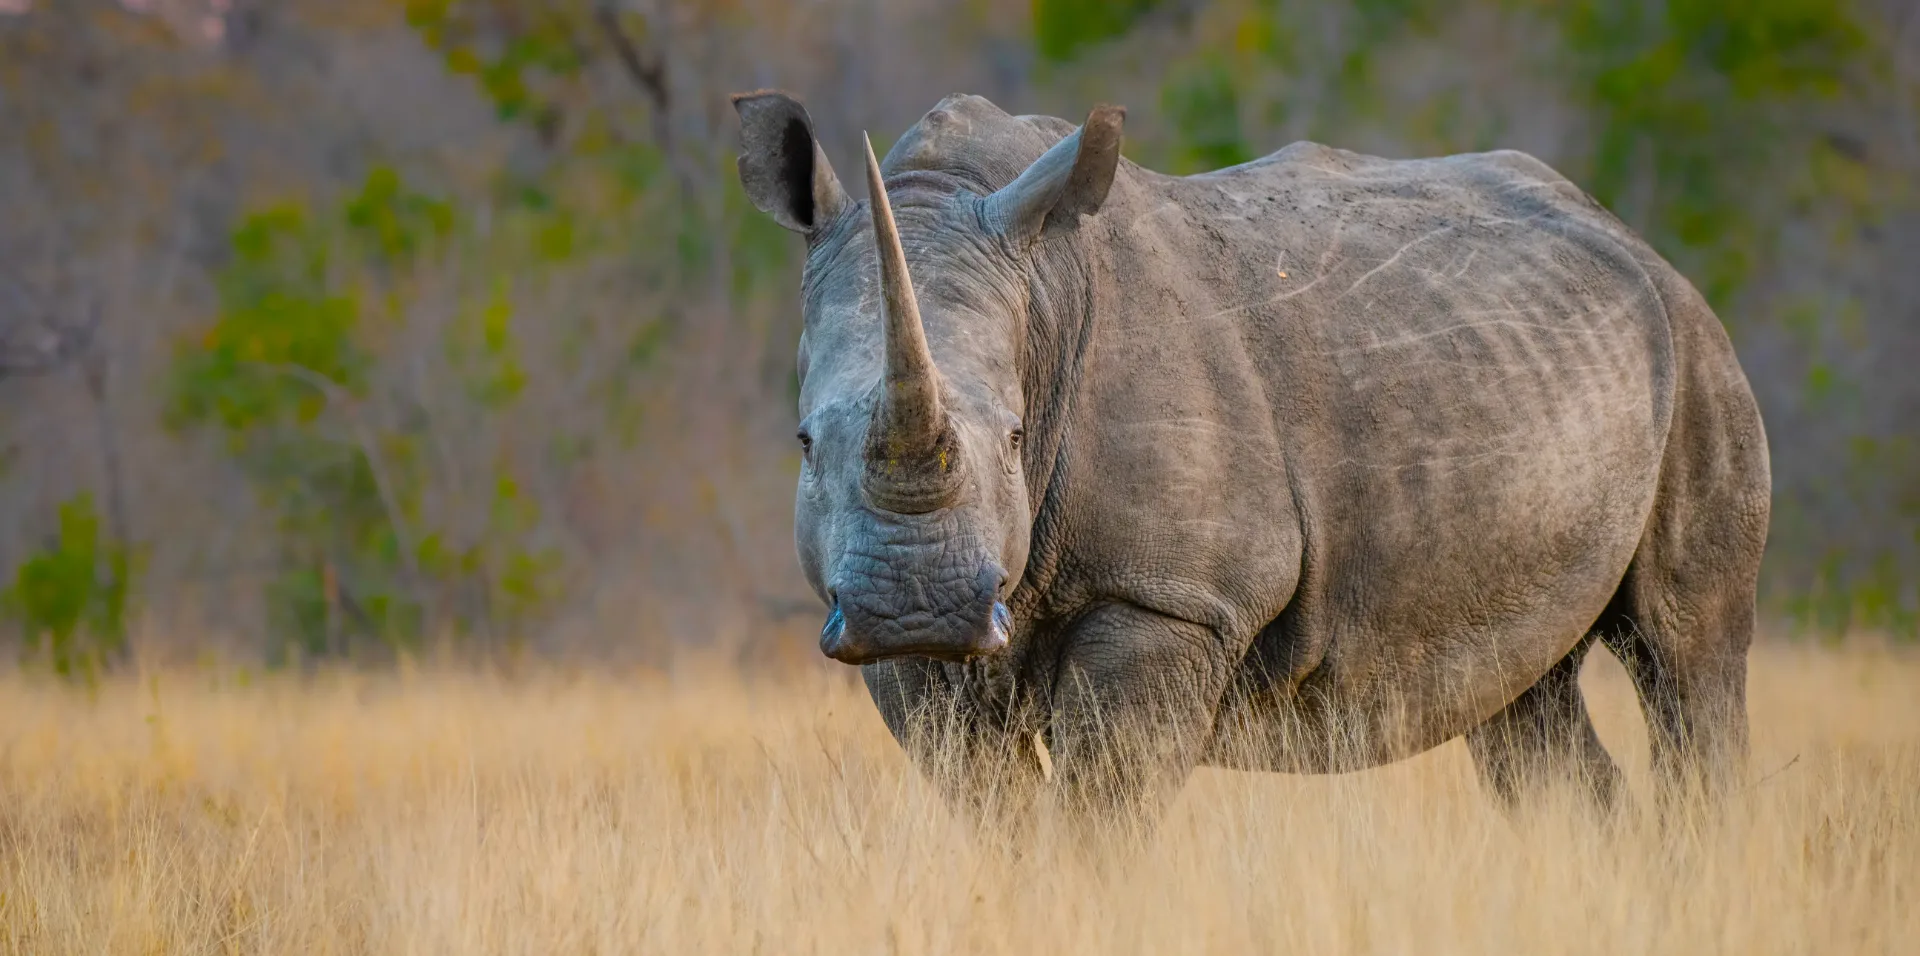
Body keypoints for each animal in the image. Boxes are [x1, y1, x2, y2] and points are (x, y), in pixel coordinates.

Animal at [733, 90, 1770, 816]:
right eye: (805, 442)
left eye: (1019, 439)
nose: (920, 605)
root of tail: (1632, 240)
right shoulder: (891, 644)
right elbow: (993, 809)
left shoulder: (1171, 596)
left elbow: (1097, 810)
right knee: (1523, 704)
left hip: (1696, 352)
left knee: (1688, 660)